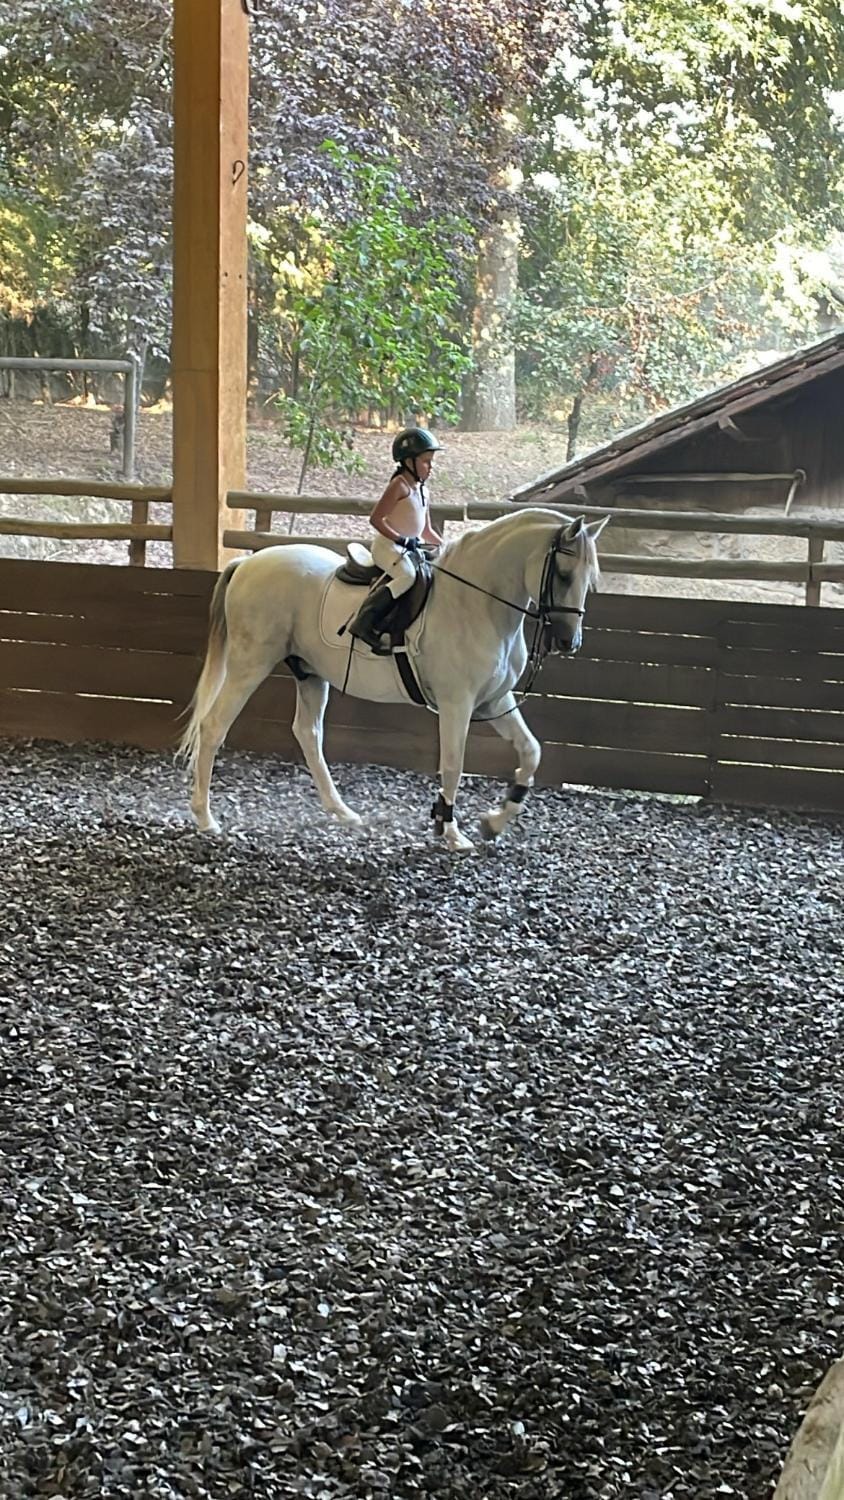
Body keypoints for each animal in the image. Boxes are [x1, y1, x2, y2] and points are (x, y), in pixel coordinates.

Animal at [178, 508, 607, 851]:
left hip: (309, 673)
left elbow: (531, 751)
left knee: (308, 733)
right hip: (249, 664)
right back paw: (205, 818)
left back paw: (343, 813)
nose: (568, 641)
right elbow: (453, 764)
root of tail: (247, 565)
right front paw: (452, 832)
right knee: (214, 726)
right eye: (563, 574)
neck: (478, 603)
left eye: (591, 577)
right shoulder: (457, 704)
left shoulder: (494, 701)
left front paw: (494, 821)